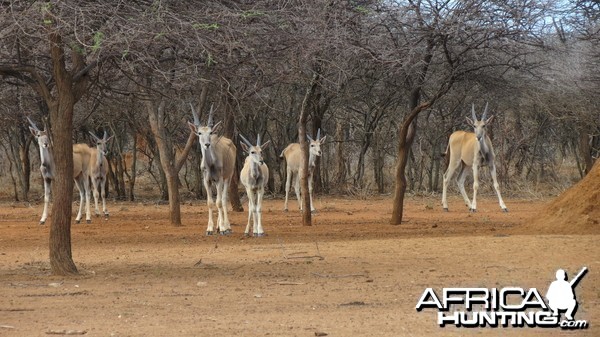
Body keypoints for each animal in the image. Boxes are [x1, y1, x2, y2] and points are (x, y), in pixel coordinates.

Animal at [188, 103, 237, 235]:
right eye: (199, 133)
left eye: (210, 132)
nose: (207, 144)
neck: (210, 164)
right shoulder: (207, 181)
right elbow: (210, 203)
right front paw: (210, 228)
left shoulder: (219, 179)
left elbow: (219, 202)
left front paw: (224, 228)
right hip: (216, 182)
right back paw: (219, 226)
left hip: (228, 177)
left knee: (223, 199)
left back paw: (226, 226)